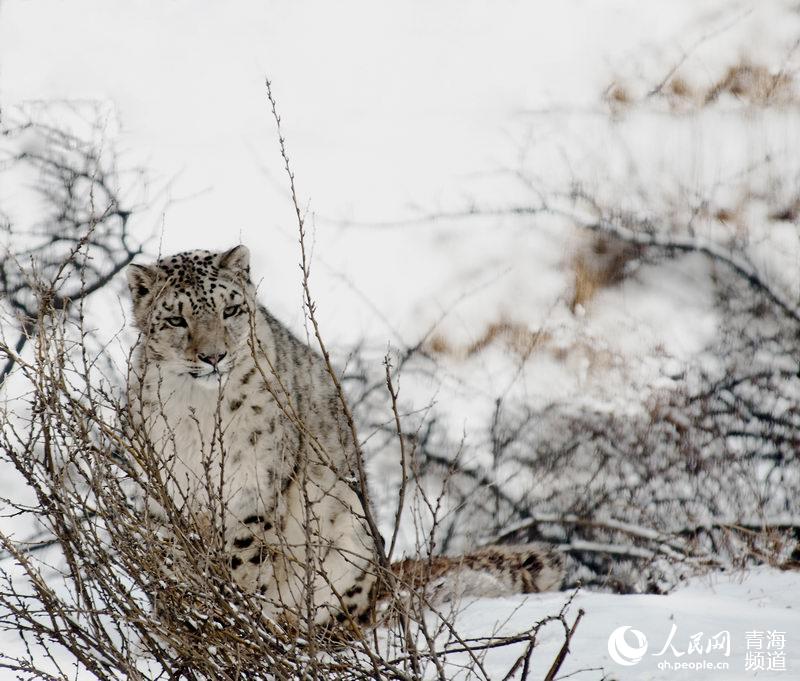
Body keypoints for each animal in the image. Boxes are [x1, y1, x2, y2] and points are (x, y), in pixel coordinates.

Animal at [125, 244, 564, 632]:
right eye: (176, 320)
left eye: (229, 309)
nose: (214, 356)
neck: (195, 413)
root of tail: (382, 577)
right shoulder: (161, 495)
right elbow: (171, 564)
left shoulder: (252, 490)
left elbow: (245, 563)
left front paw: (240, 621)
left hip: (348, 541)